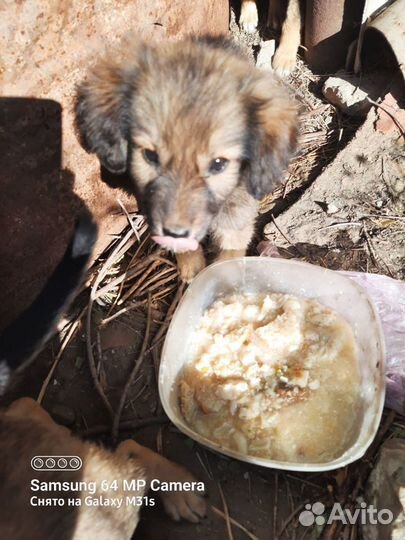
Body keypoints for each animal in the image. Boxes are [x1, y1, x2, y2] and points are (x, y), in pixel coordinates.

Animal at [76, 37, 296, 282]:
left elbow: (232, 245)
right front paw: (191, 263)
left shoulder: (239, 209)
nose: (175, 233)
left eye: (218, 164)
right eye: (150, 156)